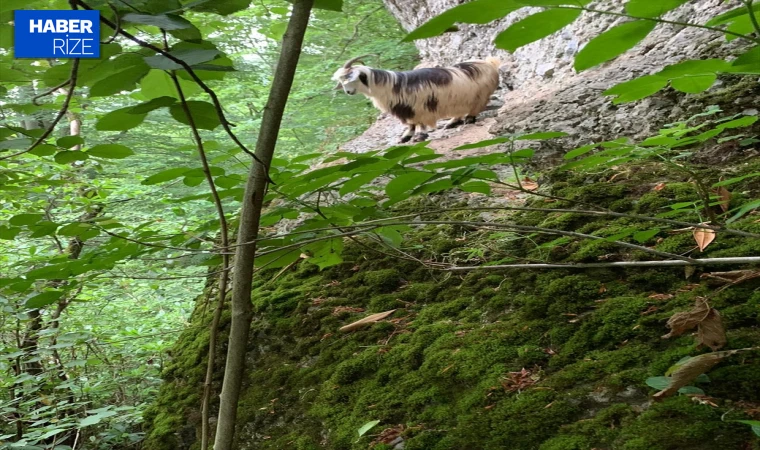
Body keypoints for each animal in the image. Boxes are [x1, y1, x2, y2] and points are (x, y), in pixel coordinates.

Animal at [332, 54, 498, 142]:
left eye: (351, 78)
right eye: (341, 81)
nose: (348, 92)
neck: (390, 85)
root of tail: (490, 62)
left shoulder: (419, 105)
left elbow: (420, 121)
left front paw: (420, 136)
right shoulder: (404, 108)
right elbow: (410, 123)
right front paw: (405, 137)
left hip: (480, 95)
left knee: (475, 107)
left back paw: (468, 119)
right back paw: (451, 123)